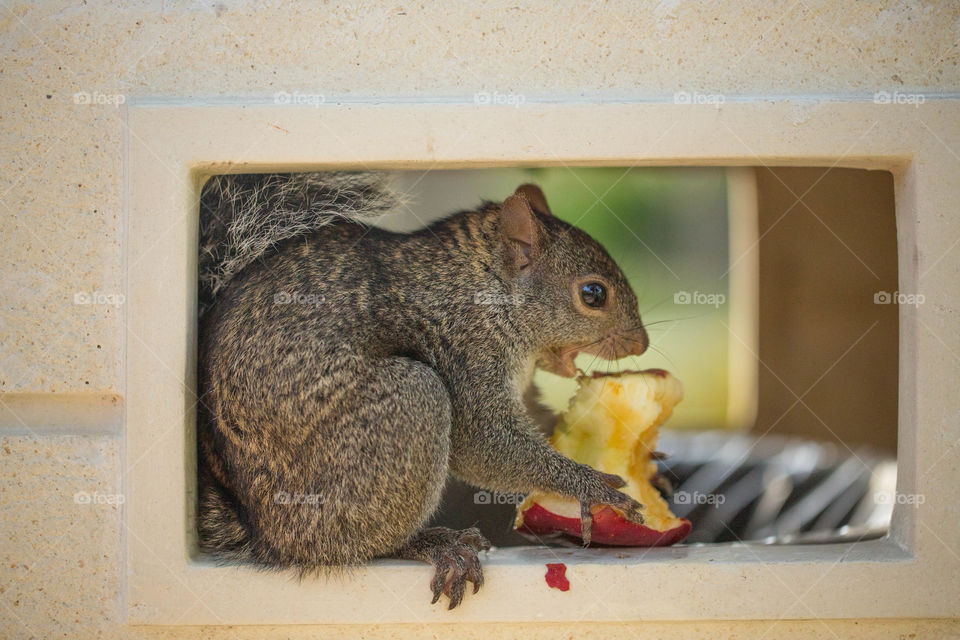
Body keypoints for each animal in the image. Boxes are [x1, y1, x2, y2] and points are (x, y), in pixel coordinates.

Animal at [196, 172, 650, 609]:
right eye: (593, 294)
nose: (641, 344)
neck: (485, 285)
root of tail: (267, 536)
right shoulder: (463, 347)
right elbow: (485, 445)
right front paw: (589, 487)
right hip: (406, 410)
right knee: (361, 545)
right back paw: (434, 544)